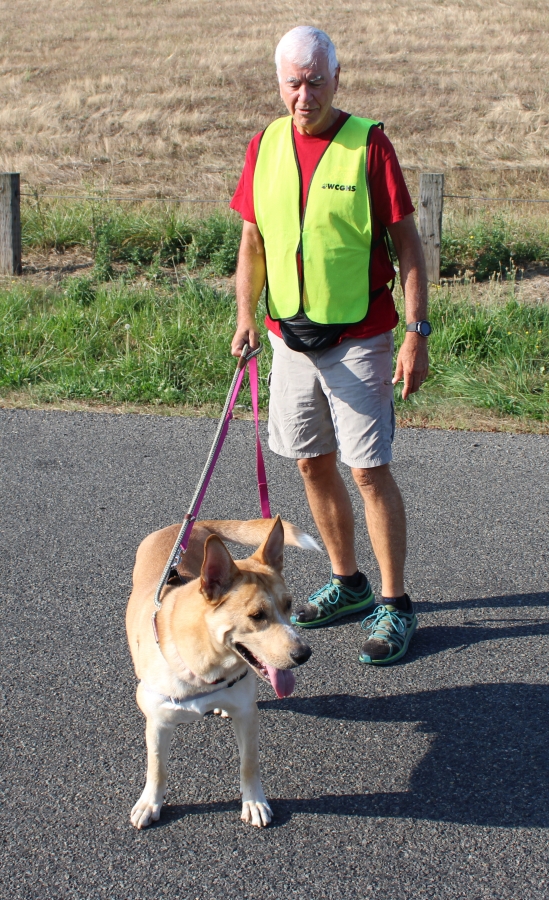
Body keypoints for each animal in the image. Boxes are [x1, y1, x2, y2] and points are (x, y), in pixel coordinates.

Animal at [126, 512, 318, 828]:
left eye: (288, 604)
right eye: (257, 616)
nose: (304, 654)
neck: (205, 667)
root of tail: (187, 525)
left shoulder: (247, 714)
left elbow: (249, 764)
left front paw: (254, 802)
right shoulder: (158, 722)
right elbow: (157, 768)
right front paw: (149, 803)